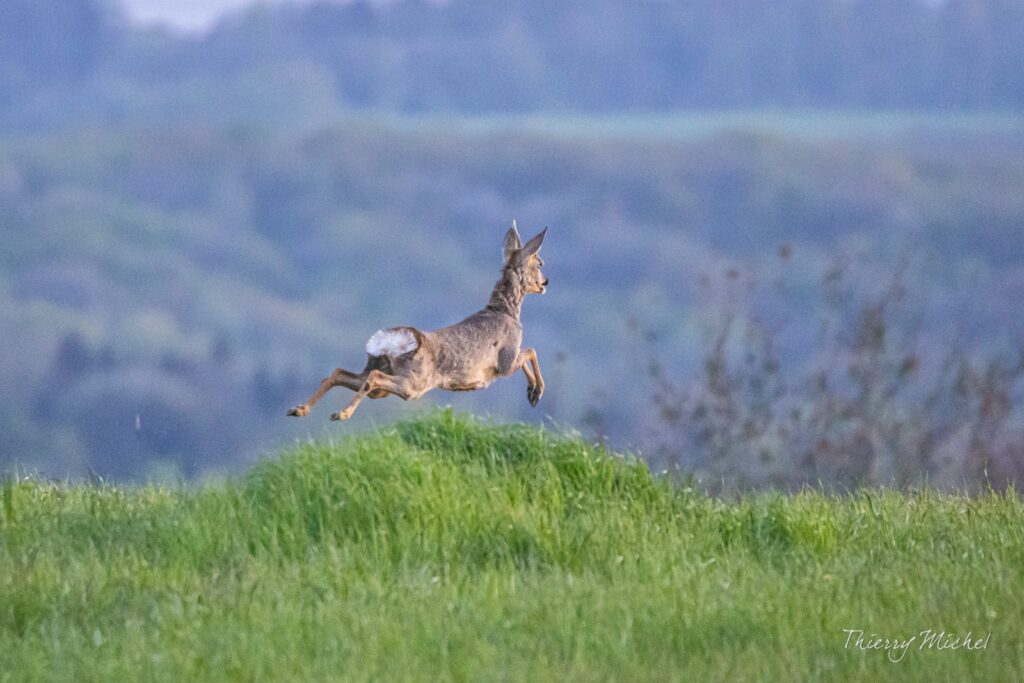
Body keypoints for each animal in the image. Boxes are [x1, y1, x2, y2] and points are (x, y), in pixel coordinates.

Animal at [284, 223, 548, 421]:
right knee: (372, 378)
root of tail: (389, 341)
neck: (506, 311)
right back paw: (341, 414)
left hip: (380, 375)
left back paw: (299, 409)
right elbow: (531, 351)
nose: (545, 282)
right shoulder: (505, 360)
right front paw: (536, 393)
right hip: (414, 381)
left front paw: (532, 392)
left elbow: (529, 354)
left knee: (338, 374)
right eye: (539, 263)